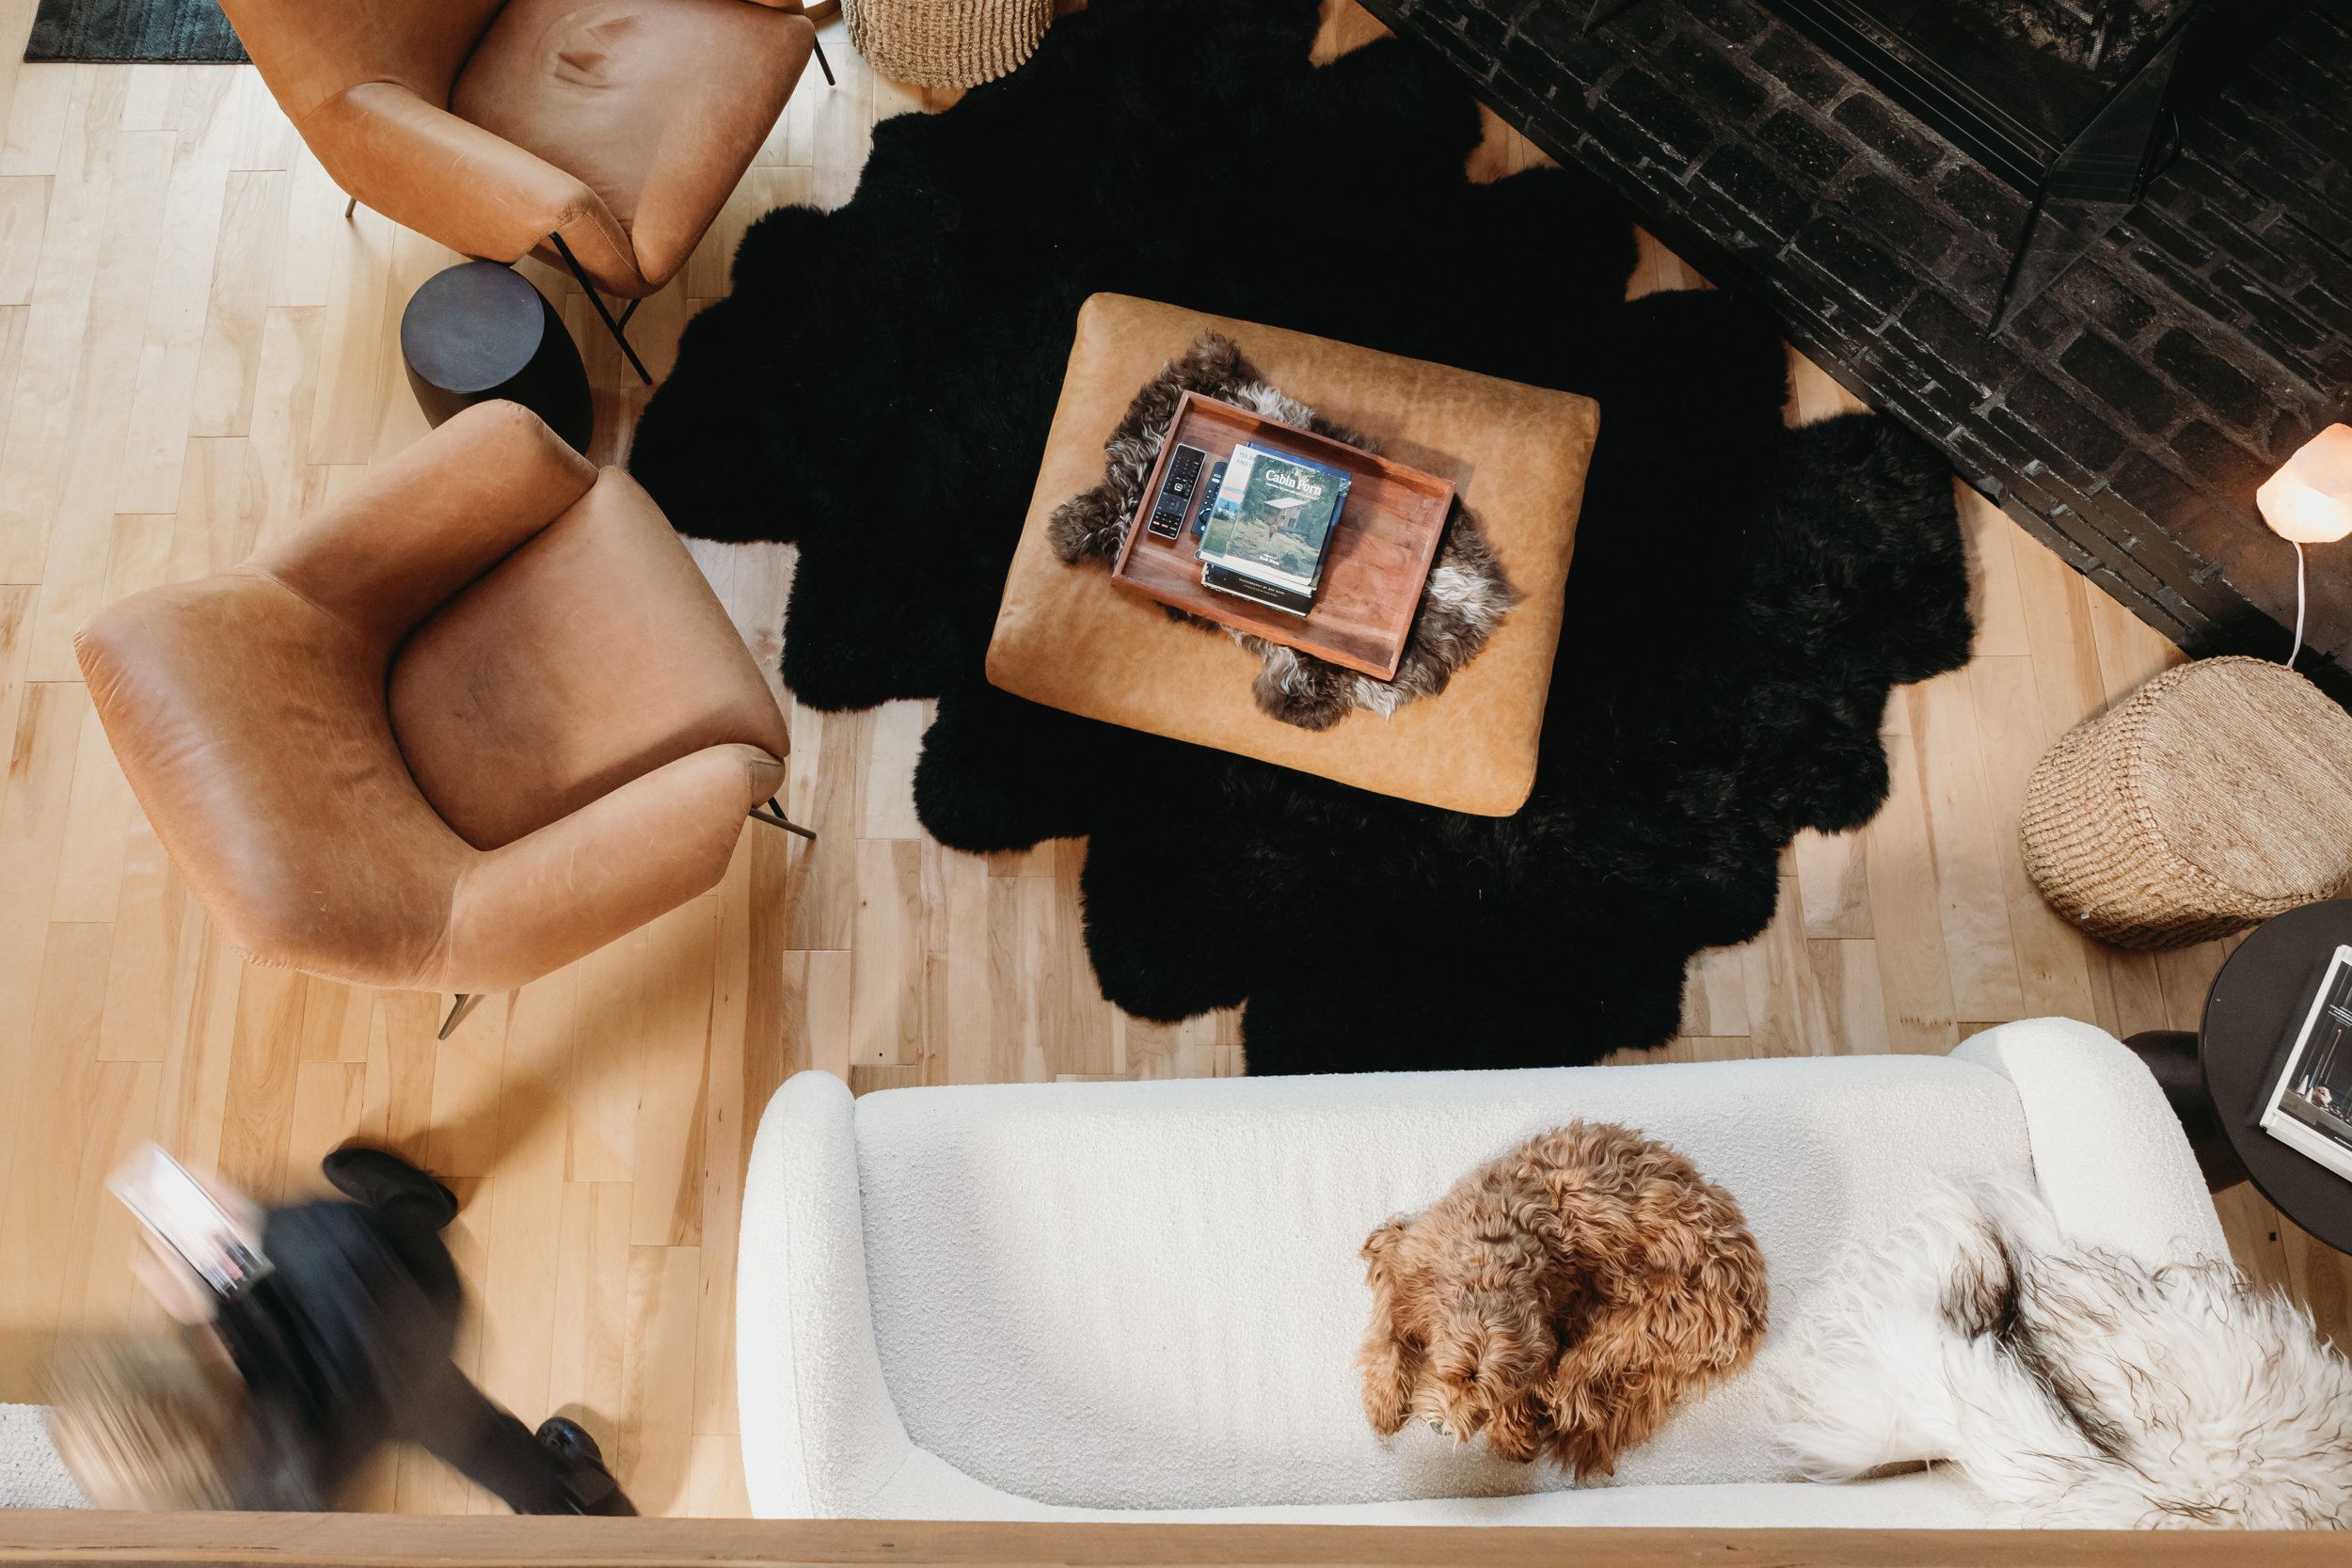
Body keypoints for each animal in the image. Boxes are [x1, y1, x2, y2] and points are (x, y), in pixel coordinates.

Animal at [1364, 1123, 1769, 1476]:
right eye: (1454, 1376)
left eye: (1485, 1395)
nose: (1442, 1428)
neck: (1496, 1252)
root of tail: (1752, 1309)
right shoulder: (1397, 1254)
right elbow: (1387, 1335)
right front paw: (1384, 1403)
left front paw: (1510, 1430)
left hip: (1635, 1322)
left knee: (1576, 1395)